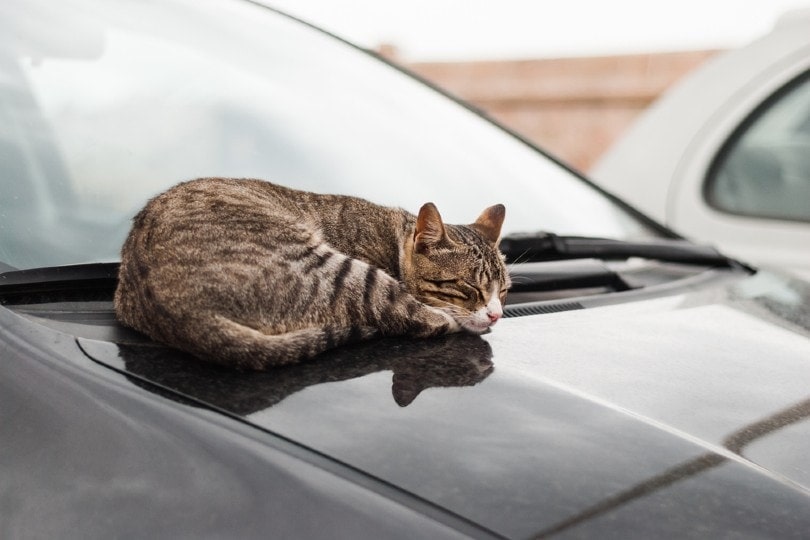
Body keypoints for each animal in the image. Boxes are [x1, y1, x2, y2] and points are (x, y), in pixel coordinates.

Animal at [115, 179, 504, 370]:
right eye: (469, 287)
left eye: (504, 291)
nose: (497, 314)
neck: (394, 237)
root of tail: (182, 313)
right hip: (343, 272)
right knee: (418, 317)